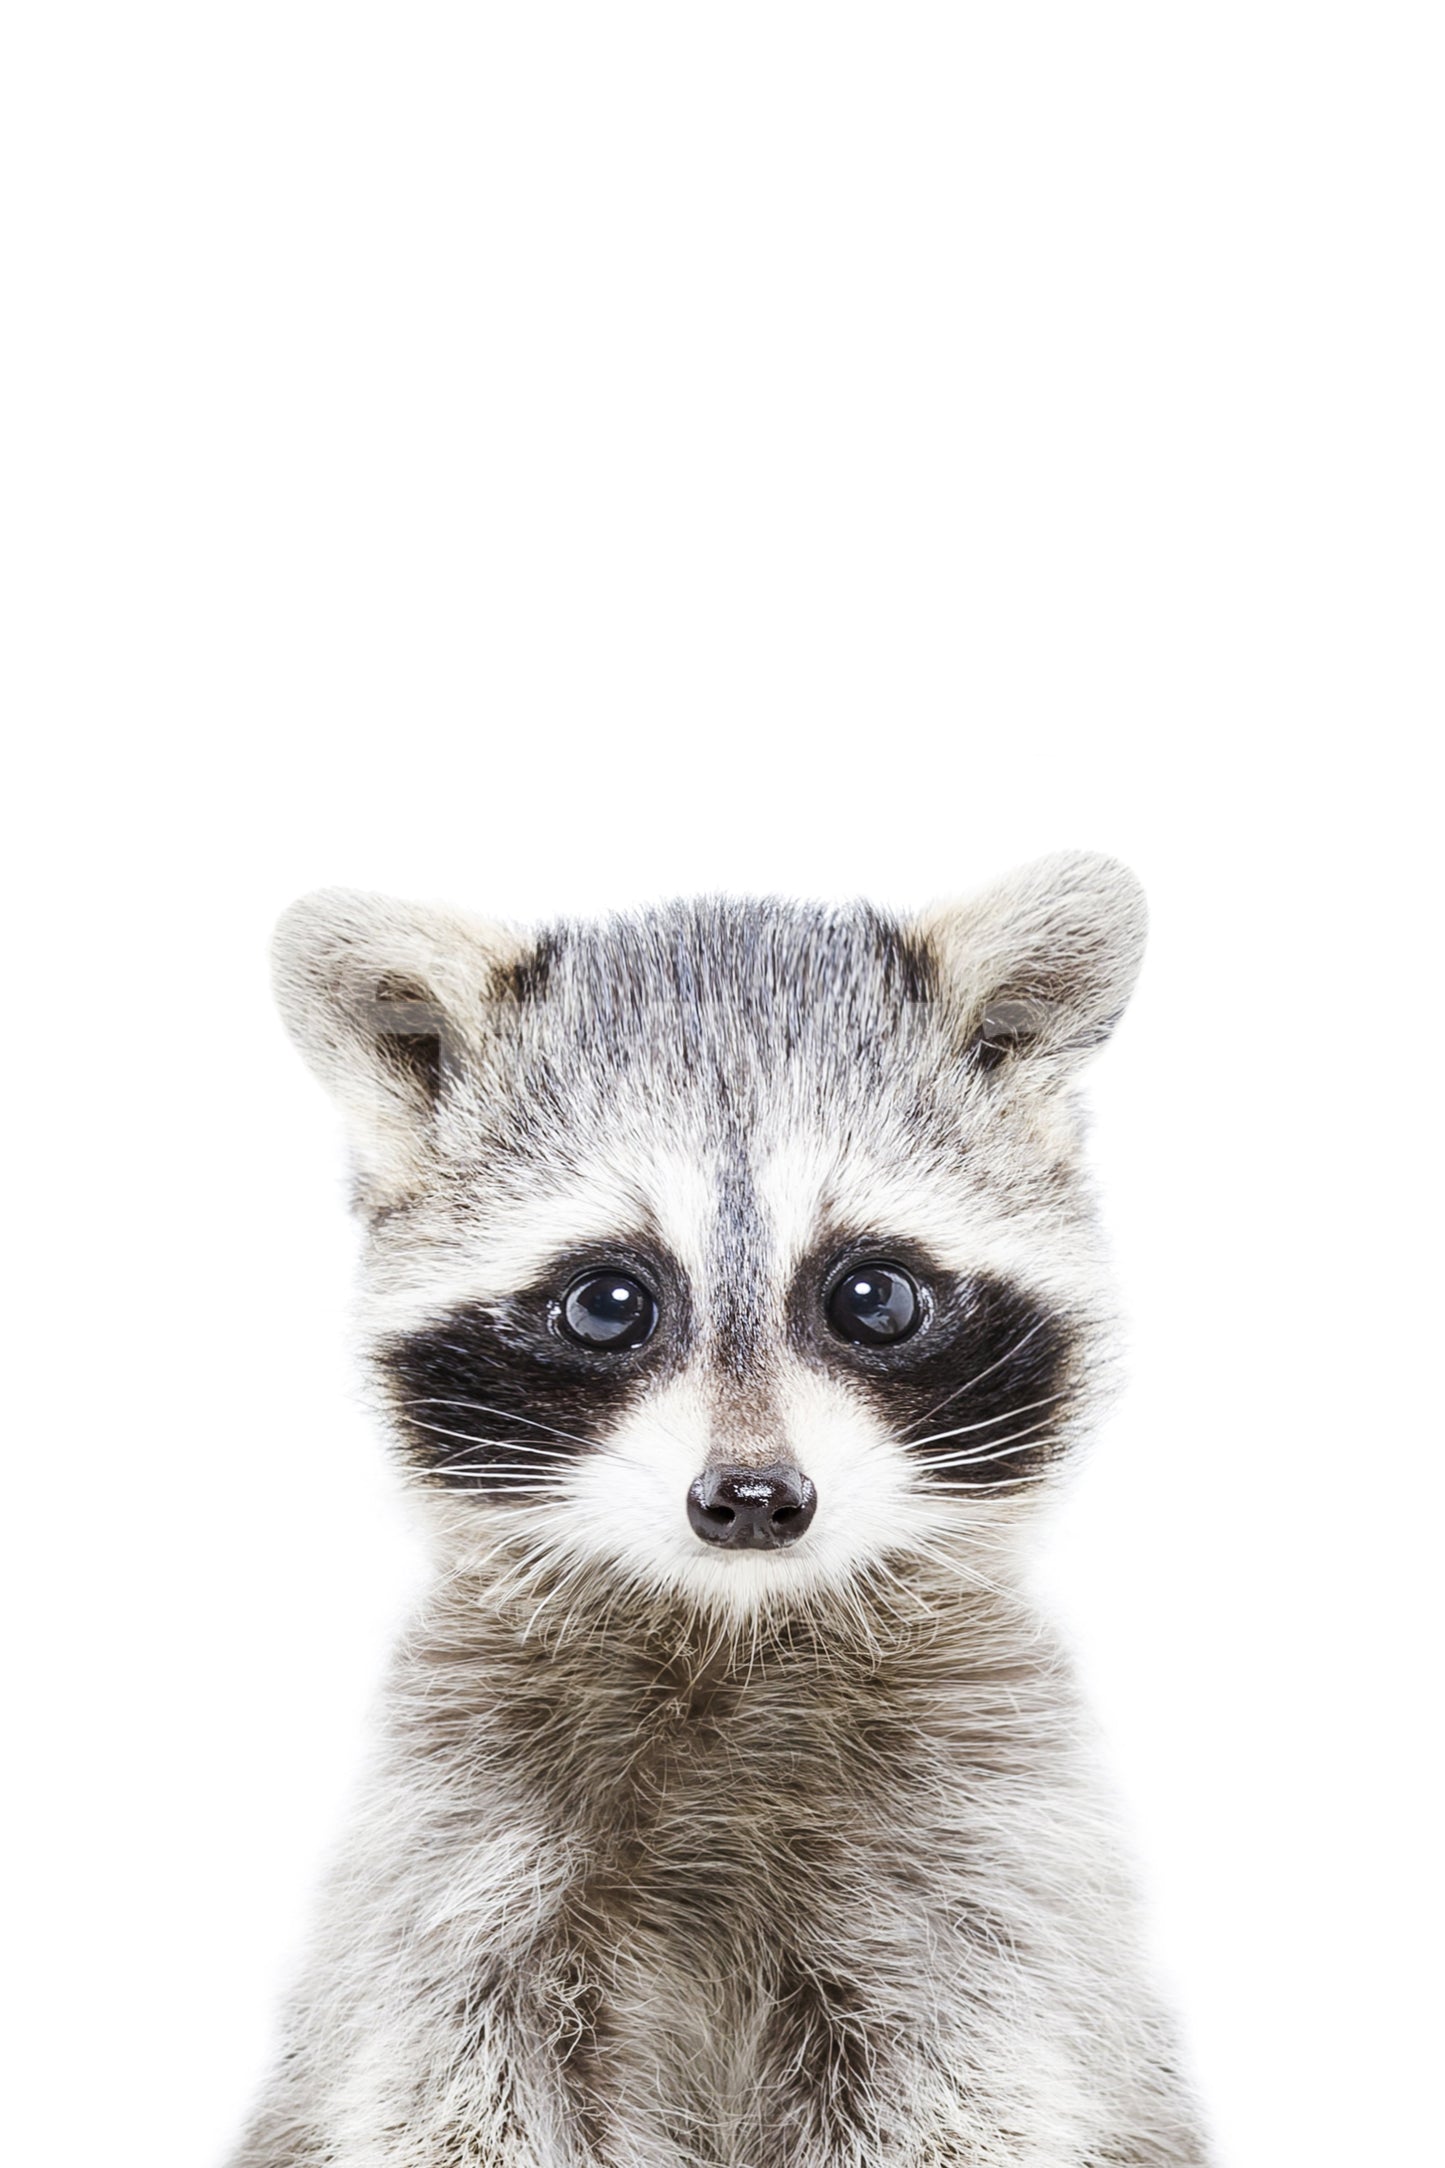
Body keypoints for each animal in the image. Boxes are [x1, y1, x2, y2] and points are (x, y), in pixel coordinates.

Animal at [231, 852, 1209, 2168]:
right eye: (606, 1300)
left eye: (871, 1294)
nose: (752, 1498)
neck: (731, 1628)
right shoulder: (454, 1852)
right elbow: (445, 2084)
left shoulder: (986, 1860)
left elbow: (968, 2086)